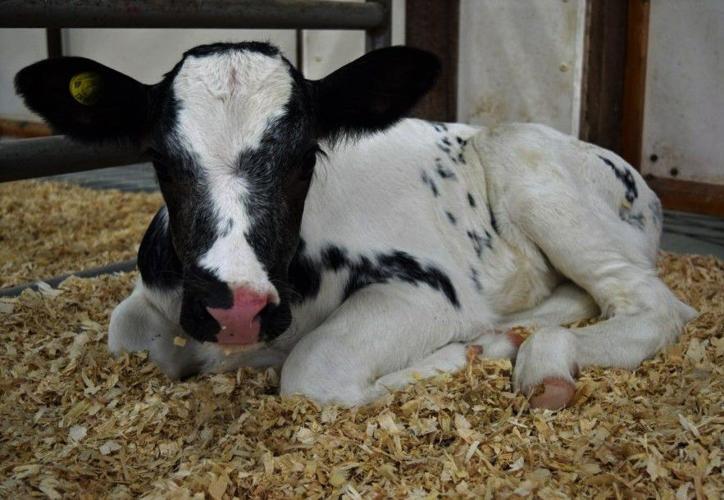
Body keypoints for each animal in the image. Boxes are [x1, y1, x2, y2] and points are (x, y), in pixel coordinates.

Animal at [15, 42, 696, 410]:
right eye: (159, 159)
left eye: (304, 156)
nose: (236, 307)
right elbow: (125, 332)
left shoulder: (423, 290)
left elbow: (313, 372)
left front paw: (456, 356)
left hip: (529, 165)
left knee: (654, 304)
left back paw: (535, 359)